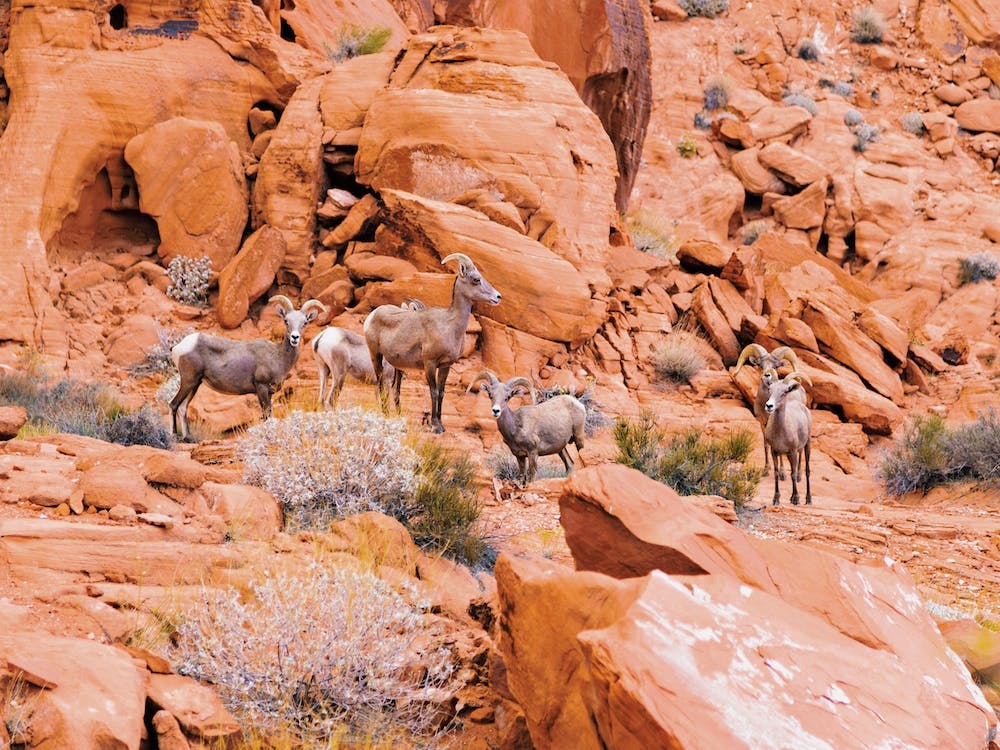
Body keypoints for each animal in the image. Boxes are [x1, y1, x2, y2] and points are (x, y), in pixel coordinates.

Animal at [169, 295, 327, 440]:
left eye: (305, 322)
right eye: (286, 321)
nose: (295, 337)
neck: (278, 357)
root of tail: (179, 347)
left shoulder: (269, 393)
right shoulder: (261, 388)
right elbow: (266, 415)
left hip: (195, 384)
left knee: (183, 408)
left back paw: (188, 438)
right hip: (188, 381)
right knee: (173, 404)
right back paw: (174, 435)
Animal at [364, 253, 501, 433]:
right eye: (476, 279)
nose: (498, 297)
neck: (450, 327)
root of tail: (372, 315)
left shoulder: (445, 365)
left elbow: (442, 392)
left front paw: (442, 425)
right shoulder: (429, 364)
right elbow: (434, 392)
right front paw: (435, 426)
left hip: (397, 367)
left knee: (395, 389)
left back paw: (398, 416)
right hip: (375, 355)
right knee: (380, 384)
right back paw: (385, 414)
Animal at [733, 343, 800, 477]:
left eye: (775, 366)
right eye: (760, 365)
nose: (767, 375)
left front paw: (782, 473)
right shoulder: (762, 423)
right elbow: (766, 445)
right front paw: (766, 470)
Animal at [763, 371, 813, 506]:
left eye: (785, 392)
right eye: (770, 389)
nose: (769, 406)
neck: (781, 433)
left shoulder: (793, 451)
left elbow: (793, 474)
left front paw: (796, 498)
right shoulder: (774, 451)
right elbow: (776, 473)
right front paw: (776, 499)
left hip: (807, 445)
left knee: (807, 471)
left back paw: (808, 499)